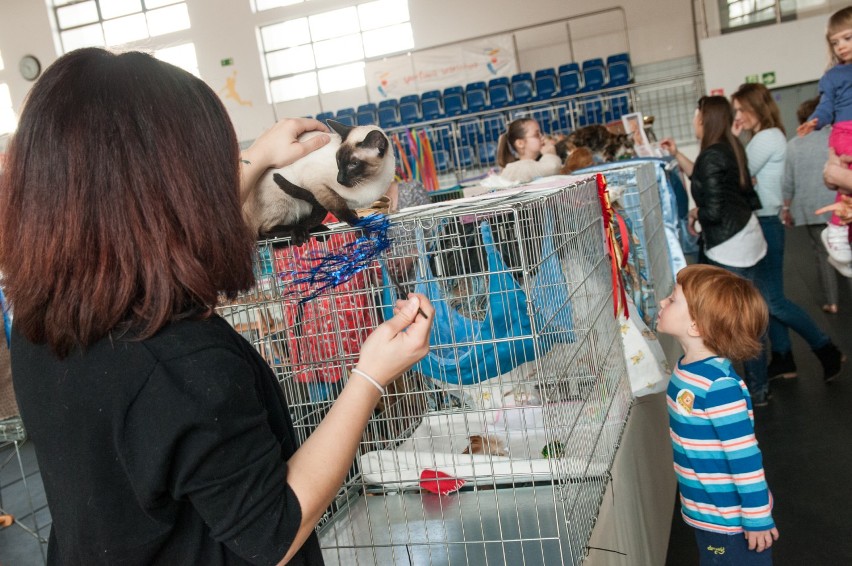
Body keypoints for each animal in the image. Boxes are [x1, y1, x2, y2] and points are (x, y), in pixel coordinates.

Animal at [243, 120, 396, 244]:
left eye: (354, 164)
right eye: (338, 161)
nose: (339, 179)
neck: (371, 181)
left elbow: (344, 212)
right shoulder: (318, 186)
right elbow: (338, 210)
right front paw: (360, 226)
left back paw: (318, 230)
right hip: (285, 201)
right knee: (263, 231)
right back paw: (300, 232)